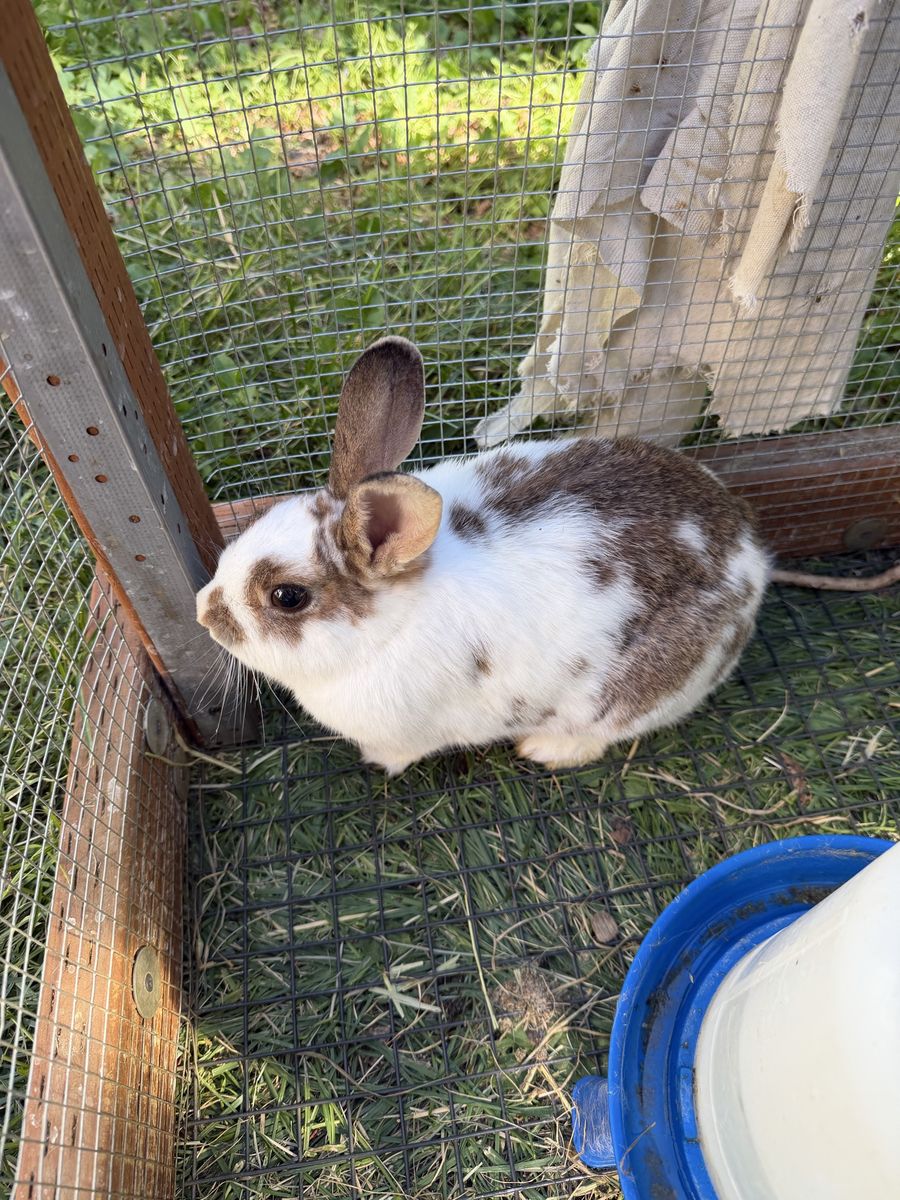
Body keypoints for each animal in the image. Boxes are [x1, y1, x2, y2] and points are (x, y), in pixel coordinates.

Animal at [196, 336, 770, 774]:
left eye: (287, 596)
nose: (204, 611)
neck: (390, 627)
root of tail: (750, 553)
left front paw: (377, 761)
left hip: (633, 695)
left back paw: (545, 748)